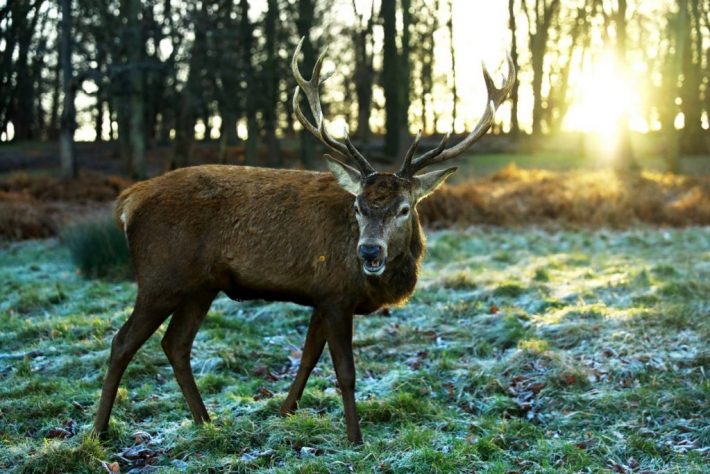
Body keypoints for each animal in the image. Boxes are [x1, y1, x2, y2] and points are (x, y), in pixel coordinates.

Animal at [94, 38, 516, 444]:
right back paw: (99, 432)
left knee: (176, 344)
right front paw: (355, 439)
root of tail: (128, 201)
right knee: (122, 342)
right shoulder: (335, 295)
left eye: (403, 208)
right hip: (160, 276)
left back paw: (205, 422)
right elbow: (344, 371)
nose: (369, 250)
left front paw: (284, 414)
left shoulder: (322, 295)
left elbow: (309, 357)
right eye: (359, 205)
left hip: (201, 286)